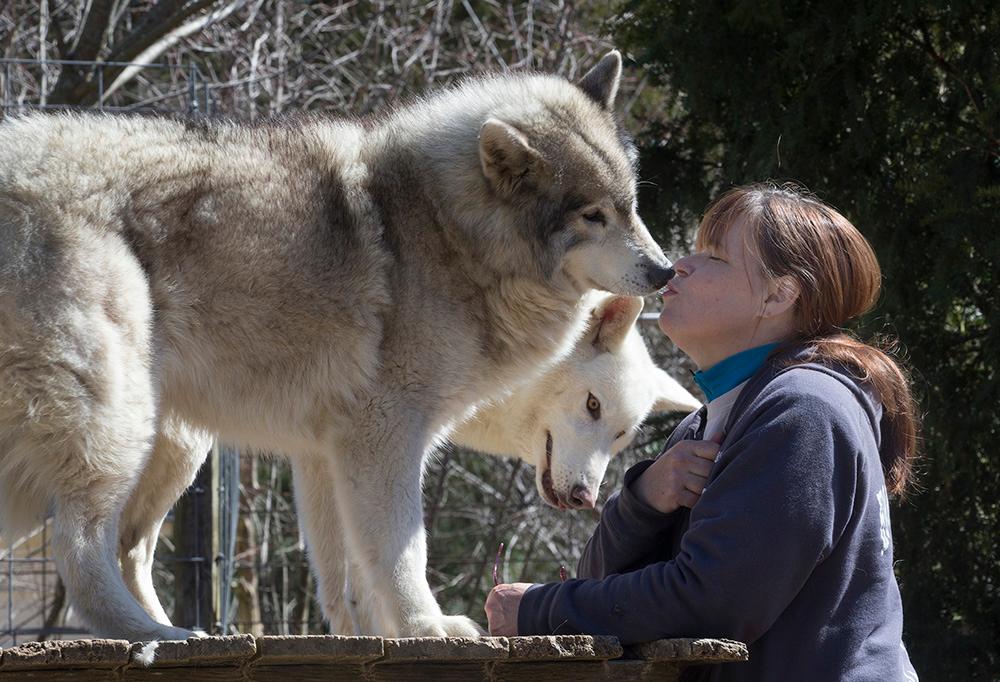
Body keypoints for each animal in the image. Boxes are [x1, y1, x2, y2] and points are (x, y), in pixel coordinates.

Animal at [0, 51, 680, 636]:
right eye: (592, 215)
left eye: (630, 206)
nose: (666, 272)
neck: (446, 232)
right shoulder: (386, 435)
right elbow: (403, 551)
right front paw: (428, 628)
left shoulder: (326, 454)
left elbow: (349, 579)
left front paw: (382, 637)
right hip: (123, 427)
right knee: (82, 548)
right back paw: (159, 637)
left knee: (124, 547)